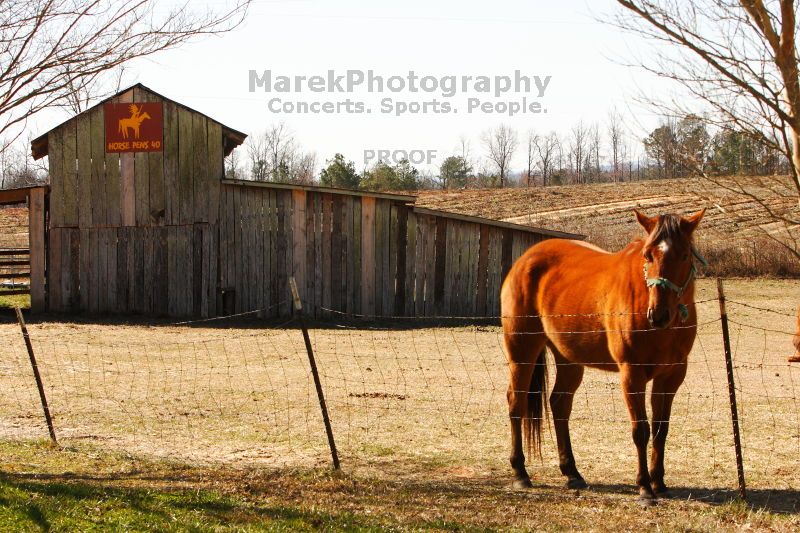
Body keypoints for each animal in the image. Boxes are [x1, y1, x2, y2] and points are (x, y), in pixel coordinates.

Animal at [504, 208, 704, 502]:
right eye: (648, 255)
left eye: (685, 254)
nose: (659, 314)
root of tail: (525, 259)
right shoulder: (632, 374)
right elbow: (641, 430)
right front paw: (644, 487)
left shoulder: (671, 376)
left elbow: (661, 429)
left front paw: (659, 482)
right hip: (522, 351)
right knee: (516, 402)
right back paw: (520, 472)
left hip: (569, 359)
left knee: (559, 404)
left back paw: (572, 472)